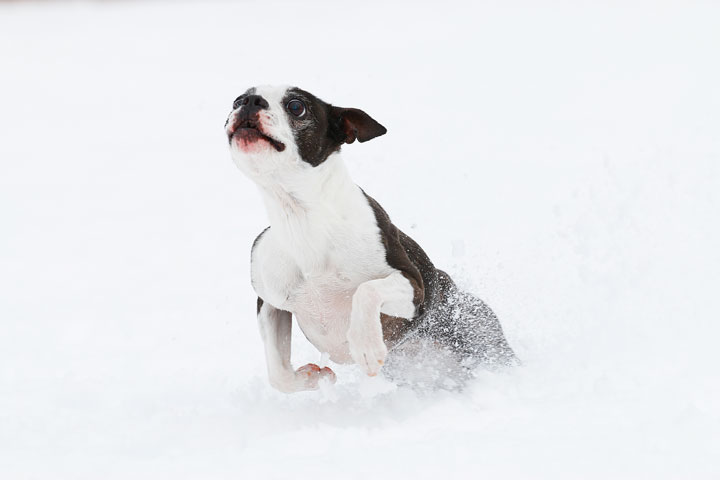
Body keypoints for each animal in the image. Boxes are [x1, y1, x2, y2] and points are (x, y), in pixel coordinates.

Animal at [225, 85, 512, 394]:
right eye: (237, 100)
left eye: (296, 106)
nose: (249, 102)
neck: (302, 217)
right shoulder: (271, 302)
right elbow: (279, 375)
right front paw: (313, 378)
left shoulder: (414, 287)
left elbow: (367, 290)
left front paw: (366, 346)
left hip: (477, 331)